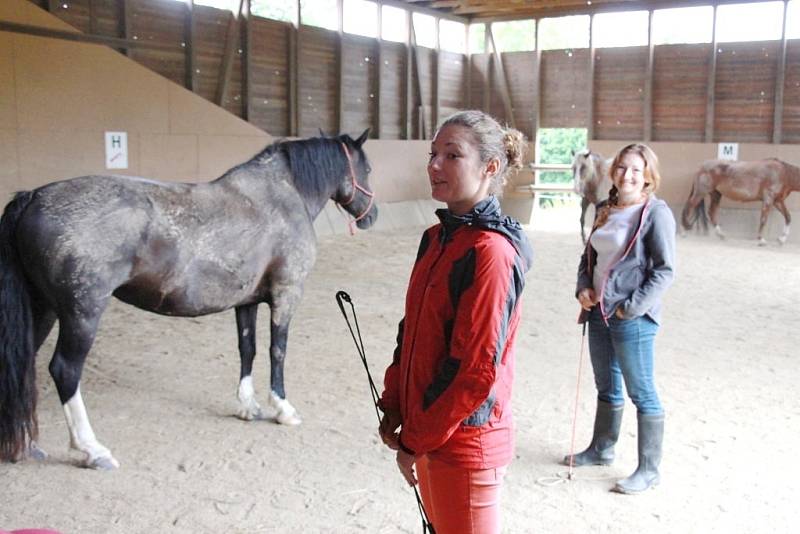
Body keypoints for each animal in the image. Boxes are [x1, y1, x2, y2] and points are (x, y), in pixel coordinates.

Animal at [0, 132, 378, 472]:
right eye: (368, 168)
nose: (372, 216)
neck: (284, 196)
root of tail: (33, 197)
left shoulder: (247, 301)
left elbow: (248, 349)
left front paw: (248, 407)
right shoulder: (287, 293)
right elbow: (277, 351)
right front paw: (283, 409)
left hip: (43, 310)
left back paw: (27, 445)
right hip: (82, 314)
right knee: (64, 370)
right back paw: (92, 449)